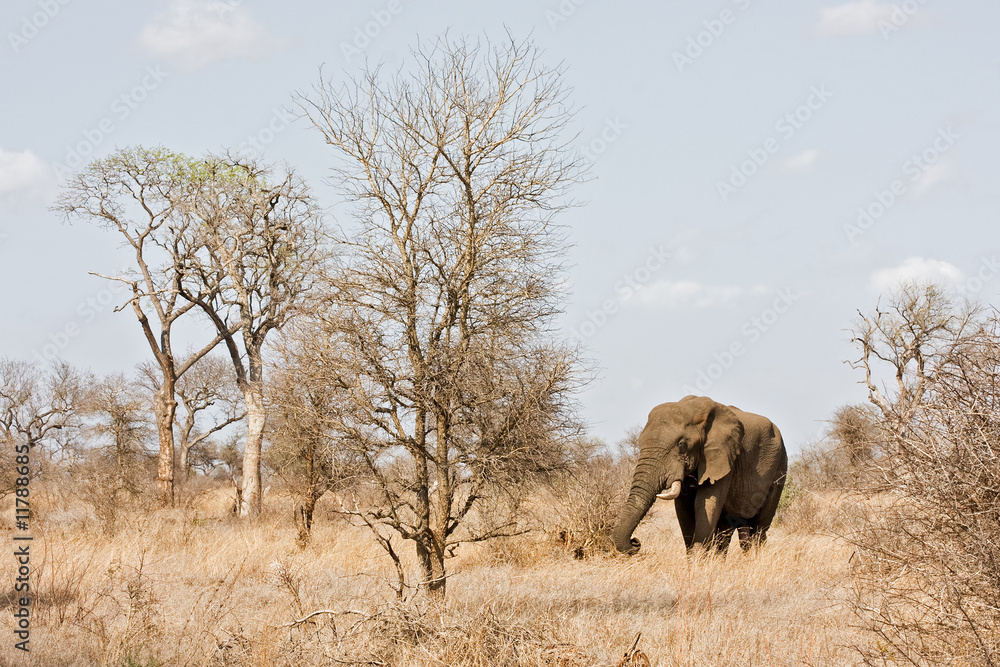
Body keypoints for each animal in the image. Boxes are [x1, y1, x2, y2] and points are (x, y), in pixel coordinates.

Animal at [612, 395, 787, 555]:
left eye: (681, 445)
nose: (635, 541)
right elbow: (684, 509)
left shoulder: (724, 458)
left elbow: (705, 503)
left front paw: (699, 561)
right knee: (734, 527)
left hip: (780, 466)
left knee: (760, 526)